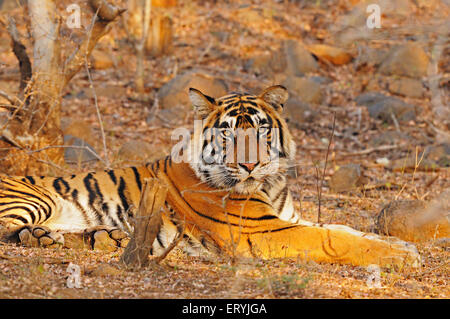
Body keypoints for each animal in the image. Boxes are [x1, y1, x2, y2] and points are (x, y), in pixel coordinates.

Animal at [0, 85, 422, 268]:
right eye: (228, 133)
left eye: (261, 130)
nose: (250, 165)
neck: (271, 184)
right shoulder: (266, 231)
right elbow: (333, 239)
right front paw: (401, 254)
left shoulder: (287, 218)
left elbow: (342, 229)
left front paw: (399, 244)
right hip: (35, 198)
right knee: (10, 231)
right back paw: (46, 237)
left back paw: (102, 237)